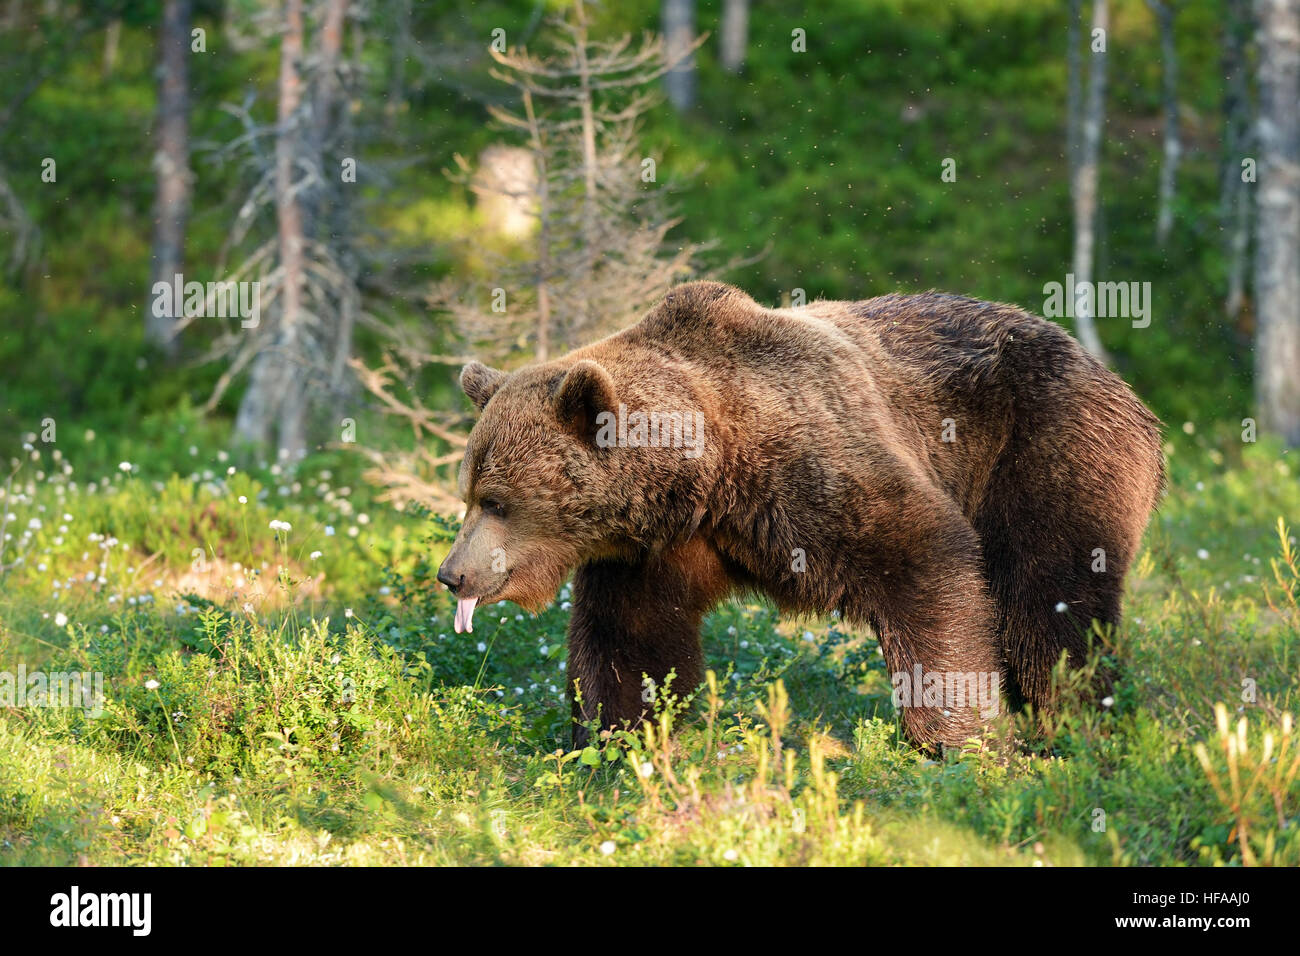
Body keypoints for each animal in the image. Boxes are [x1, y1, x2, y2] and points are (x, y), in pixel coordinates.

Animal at [439, 280, 1170, 749]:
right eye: (468, 492)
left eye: (497, 501)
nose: (452, 574)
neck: (706, 472)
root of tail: (1120, 384)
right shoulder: (658, 549)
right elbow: (630, 641)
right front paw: (614, 744)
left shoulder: (813, 466)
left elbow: (925, 559)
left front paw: (957, 740)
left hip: (1046, 453)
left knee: (1048, 605)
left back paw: (1075, 723)